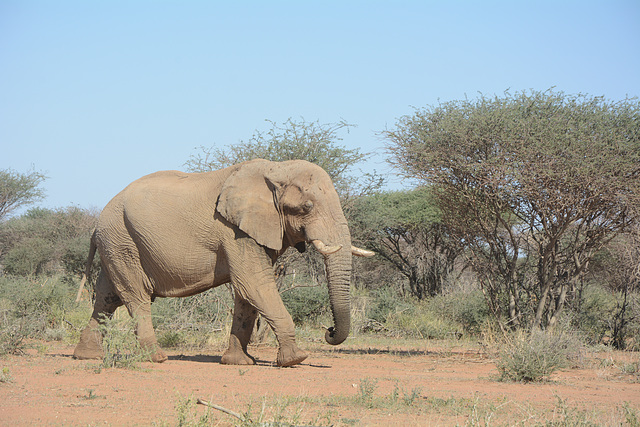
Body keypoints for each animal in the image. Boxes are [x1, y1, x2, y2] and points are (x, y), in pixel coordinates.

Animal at [74, 160, 376, 368]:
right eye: (307, 207)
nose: (329, 331)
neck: (276, 168)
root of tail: (97, 222)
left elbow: (247, 293)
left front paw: (239, 362)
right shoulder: (234, 231)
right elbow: (255, 284)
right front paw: (295, 359)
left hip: (117, 243)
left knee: (107, 298)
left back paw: (86, 356)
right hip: (122, 240)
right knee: (136, 297)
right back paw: (157, 358)